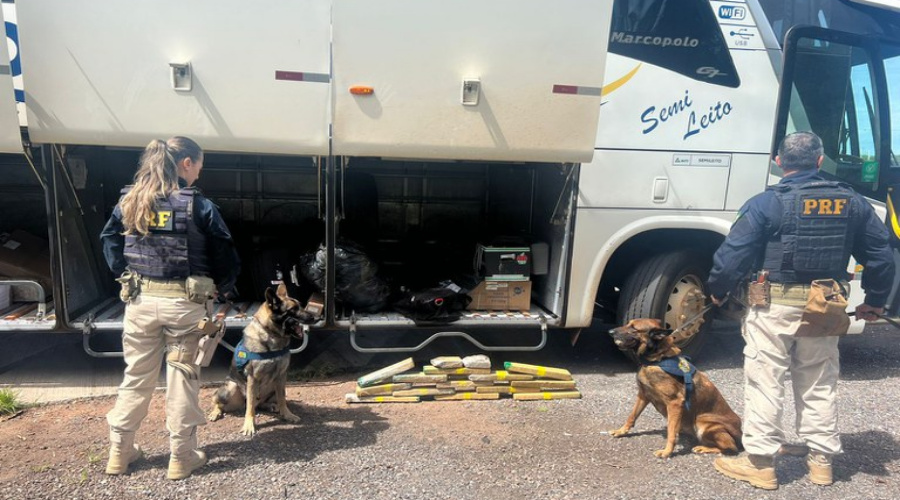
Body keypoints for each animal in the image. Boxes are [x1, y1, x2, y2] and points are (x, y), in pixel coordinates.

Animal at [207, 284, 320, 436]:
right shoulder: (253, 379)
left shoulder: (281, 376)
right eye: (292, 310)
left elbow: (282, 399)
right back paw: (215, 412)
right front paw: (249, 425)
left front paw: (287, 414)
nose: (317, 317)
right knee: (221, 403)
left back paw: (272, 406)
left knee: (262, 403)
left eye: (301, 306)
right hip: (231, 388)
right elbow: (250, 408)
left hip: (274, 386)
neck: (271, 335)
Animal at [608, 318, 740, 458]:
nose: (610, 332)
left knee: (731, 447)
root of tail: (741, 435)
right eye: (628, 323)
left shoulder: (674, 403)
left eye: (634, 328)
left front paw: (667, 451)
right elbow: (632, 416)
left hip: (703, 423)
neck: (657, 360)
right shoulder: (643, 395)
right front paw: (621, 431)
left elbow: (671, 431)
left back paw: (703, 448)